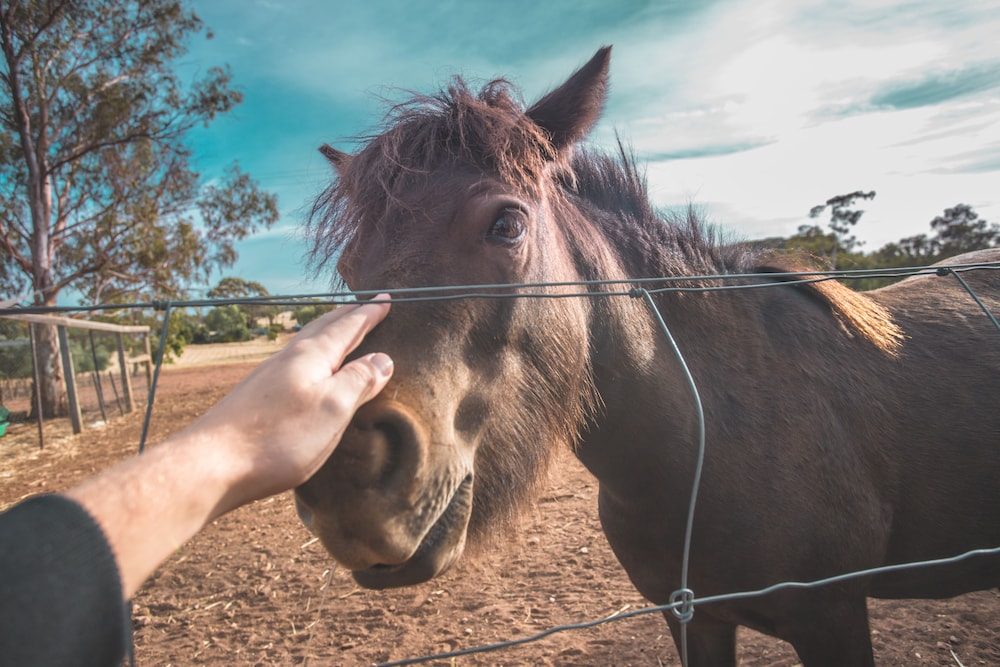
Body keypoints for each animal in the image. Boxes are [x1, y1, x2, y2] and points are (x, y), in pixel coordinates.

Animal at [294, 48, 1000, 667]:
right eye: (351, 270)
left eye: (506, 224)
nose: (346, 479)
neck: (708, 438)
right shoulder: (692, 619)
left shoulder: (831, 616)